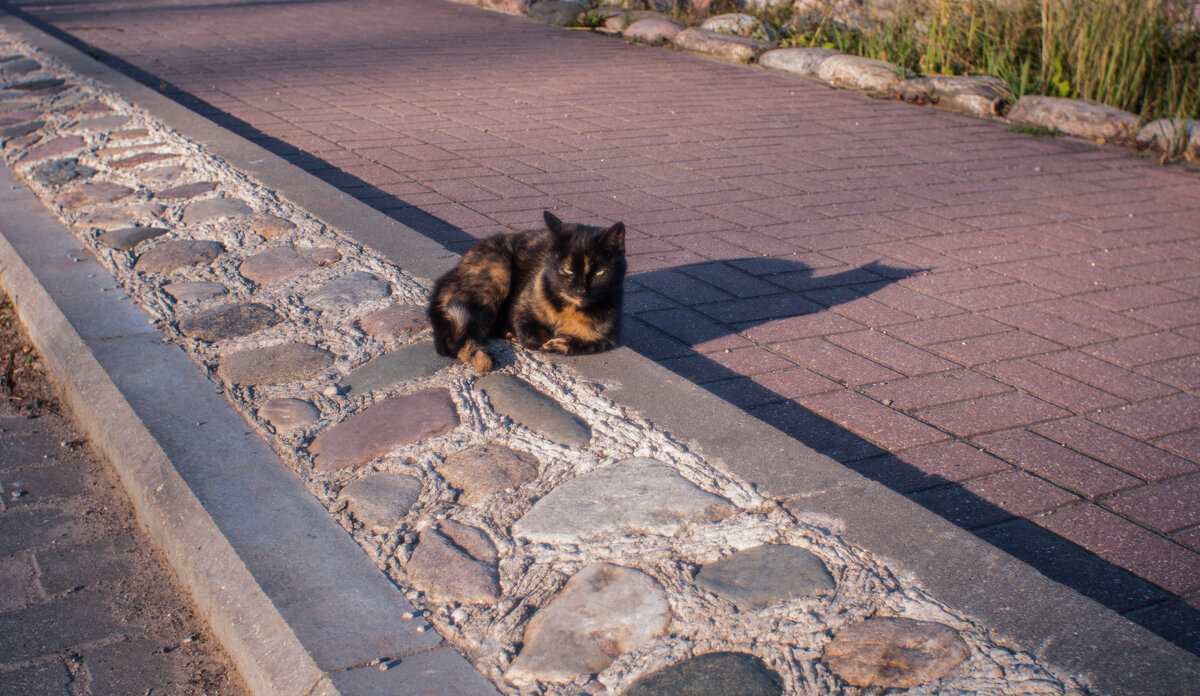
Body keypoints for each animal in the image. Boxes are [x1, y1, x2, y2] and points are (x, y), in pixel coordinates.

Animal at [429, 211, 628, 372]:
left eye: (598, 273)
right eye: (567, 270)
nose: (580, 290)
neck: (567, 310)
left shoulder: (608, 338)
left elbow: (582, 342)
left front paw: (555, 343)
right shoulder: (520, 309)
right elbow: (531, 335)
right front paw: (541, 339)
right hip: (498, 274)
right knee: (453, 338)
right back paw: (482, 358)